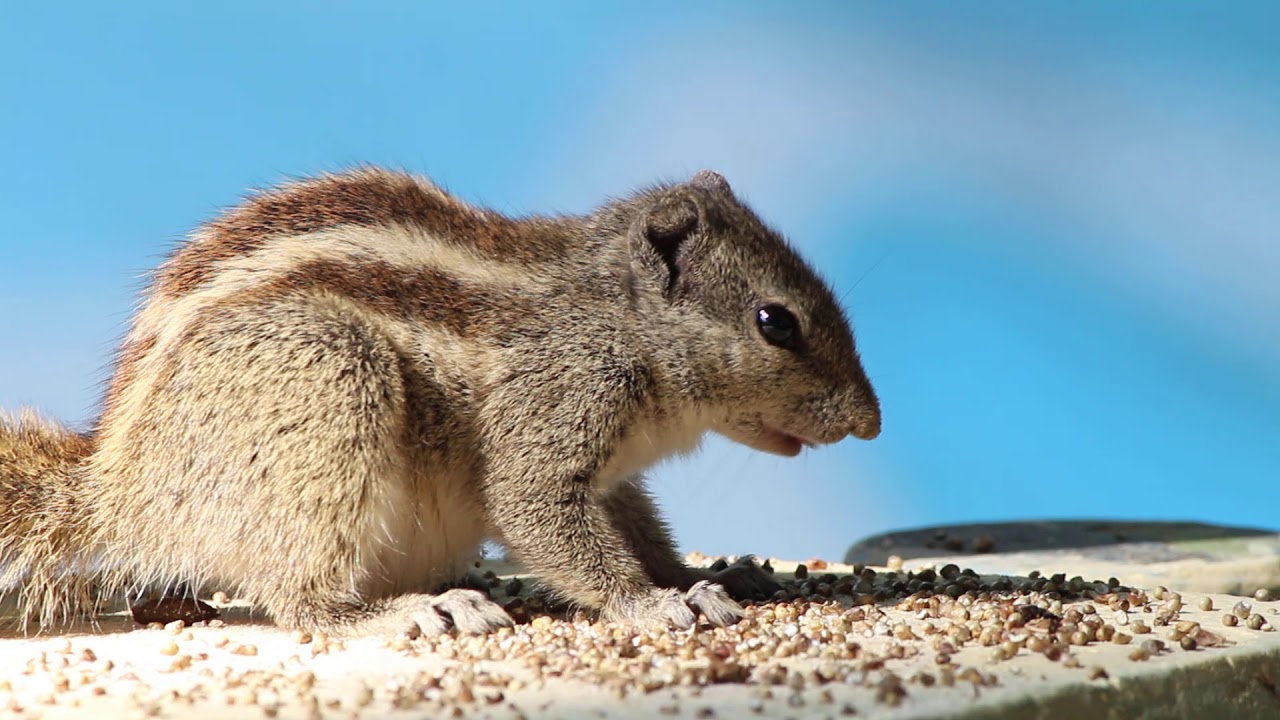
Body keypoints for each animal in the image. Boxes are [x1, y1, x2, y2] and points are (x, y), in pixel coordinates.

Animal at [0, 167, 881, 637]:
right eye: (775, 322)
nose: (871, 422)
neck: (612, 317)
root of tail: (117, 489)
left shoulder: (613, 475)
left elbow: (641, 529)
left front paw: (709, 575)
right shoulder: (551, 416)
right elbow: (544, 519)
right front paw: (652, 603)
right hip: (331, 378)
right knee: (301, 605)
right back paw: (408, 614)